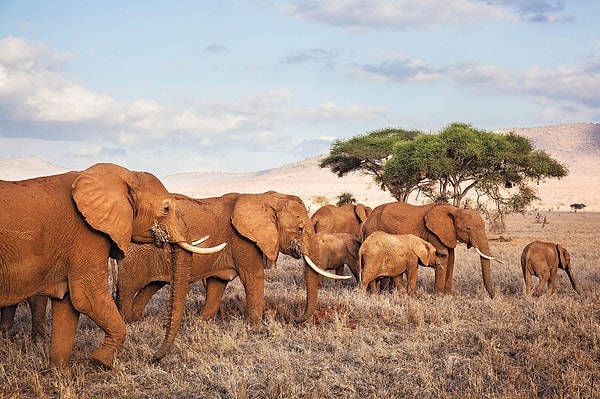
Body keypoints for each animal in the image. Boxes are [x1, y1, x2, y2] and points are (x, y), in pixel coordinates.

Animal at [0, 163, 225, 368]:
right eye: (166, 208)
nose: (153, 358)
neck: (121, 176)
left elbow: (68, 303)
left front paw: (59, 372)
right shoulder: (87, 236)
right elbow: (87, 297)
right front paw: (98, 361)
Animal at [116, 192, 346, 326]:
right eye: (299, 229)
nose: (296, 319)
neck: (266, 198)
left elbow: (218, 284)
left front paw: (200, 322)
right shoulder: (242, 240)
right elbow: (253, 277)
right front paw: (256, 328)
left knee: (151, 286)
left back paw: (137, 319)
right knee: (128, 288)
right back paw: (127, 322)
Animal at [358, 205, 500, 298]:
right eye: (468, 228)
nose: (495, 297)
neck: (454, 209)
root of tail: (366, 223)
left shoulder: (448, 234)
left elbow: (451, 258)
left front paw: (448, 295)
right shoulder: (433, 233)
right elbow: (446, 258)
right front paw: (439, 296)